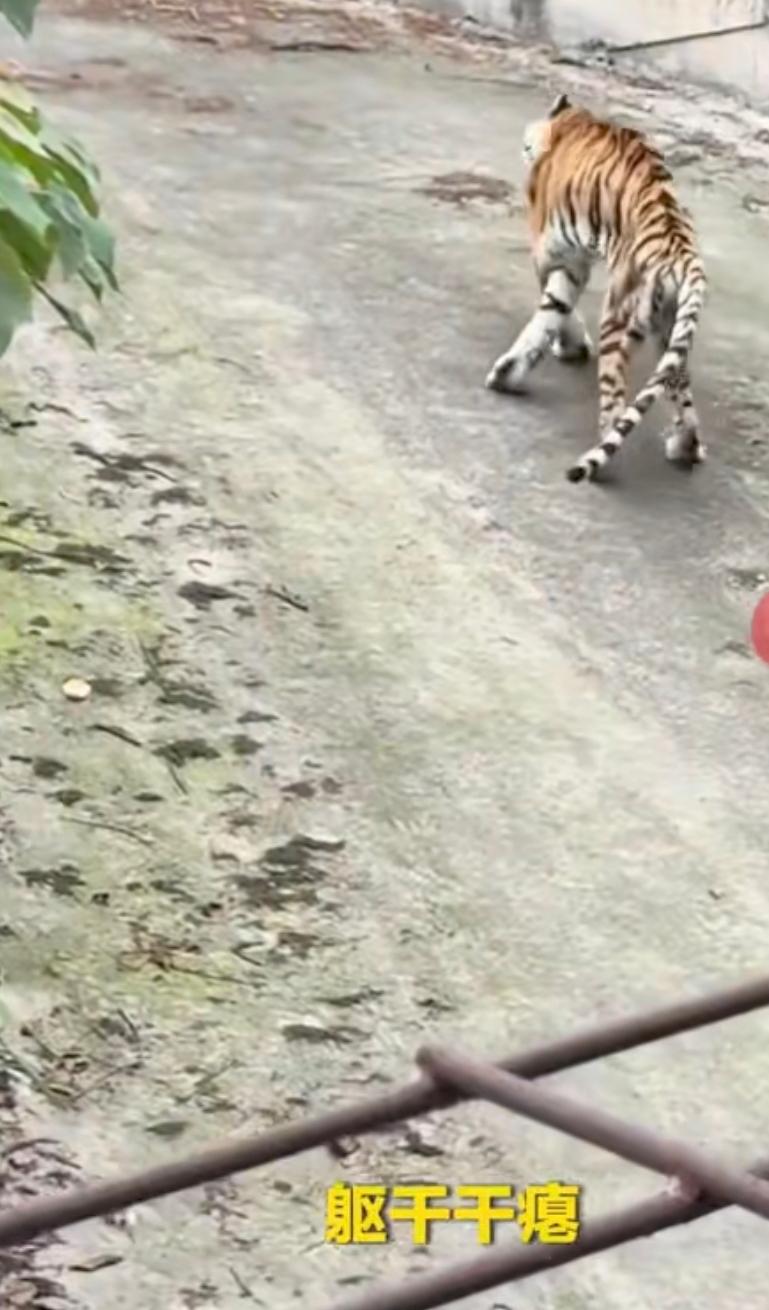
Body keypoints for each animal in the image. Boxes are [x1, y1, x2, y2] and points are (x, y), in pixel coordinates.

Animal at [485, 93, 707, 484]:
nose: (523, 148)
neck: (573, 121)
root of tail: (682, 252)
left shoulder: (552, 254)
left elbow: (554, 312)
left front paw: (565, 348)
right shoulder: (570, 259)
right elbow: (552, 312)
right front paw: (510, 373)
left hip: (620, 318)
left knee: (615, 403)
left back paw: (600, 457)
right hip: (670, 327)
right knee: (679, 385)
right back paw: (685, 446)